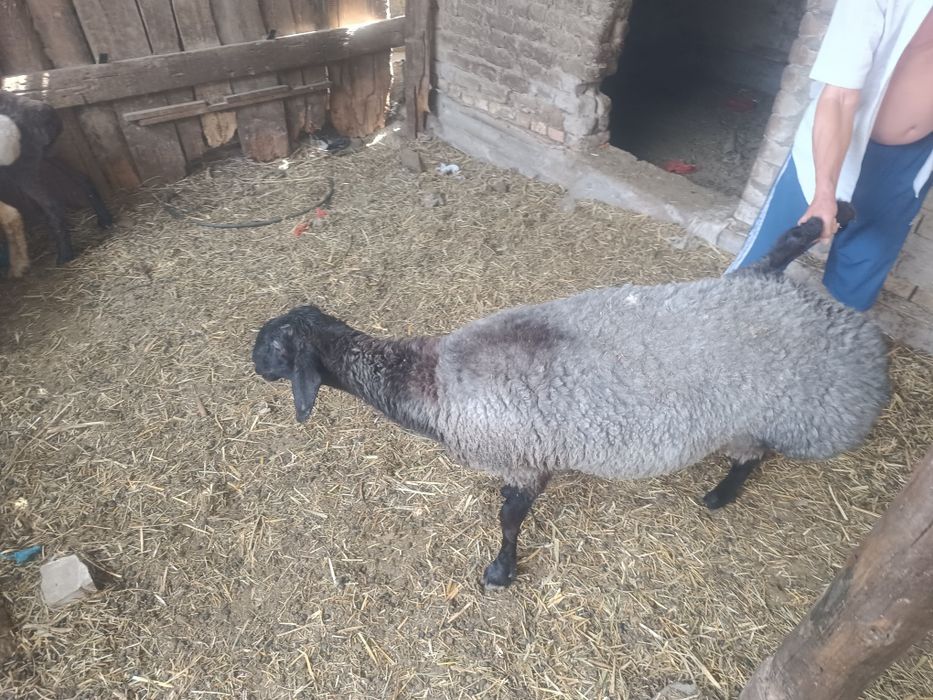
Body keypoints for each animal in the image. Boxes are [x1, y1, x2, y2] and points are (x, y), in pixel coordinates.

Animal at [0, 90, 112, 266]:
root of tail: (46, 114)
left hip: (21, 165)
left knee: (52, 204)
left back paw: (64, 256)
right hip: (46, 155)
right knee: (82, 178)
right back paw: (105, 219)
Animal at [252, 210, 889, 588]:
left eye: (275, 347)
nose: (253, 364)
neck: (433, 380)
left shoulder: (523, 459)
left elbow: (509, 519)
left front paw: (500, 571)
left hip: (791, 412)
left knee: (755, 453)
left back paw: (720, 495)